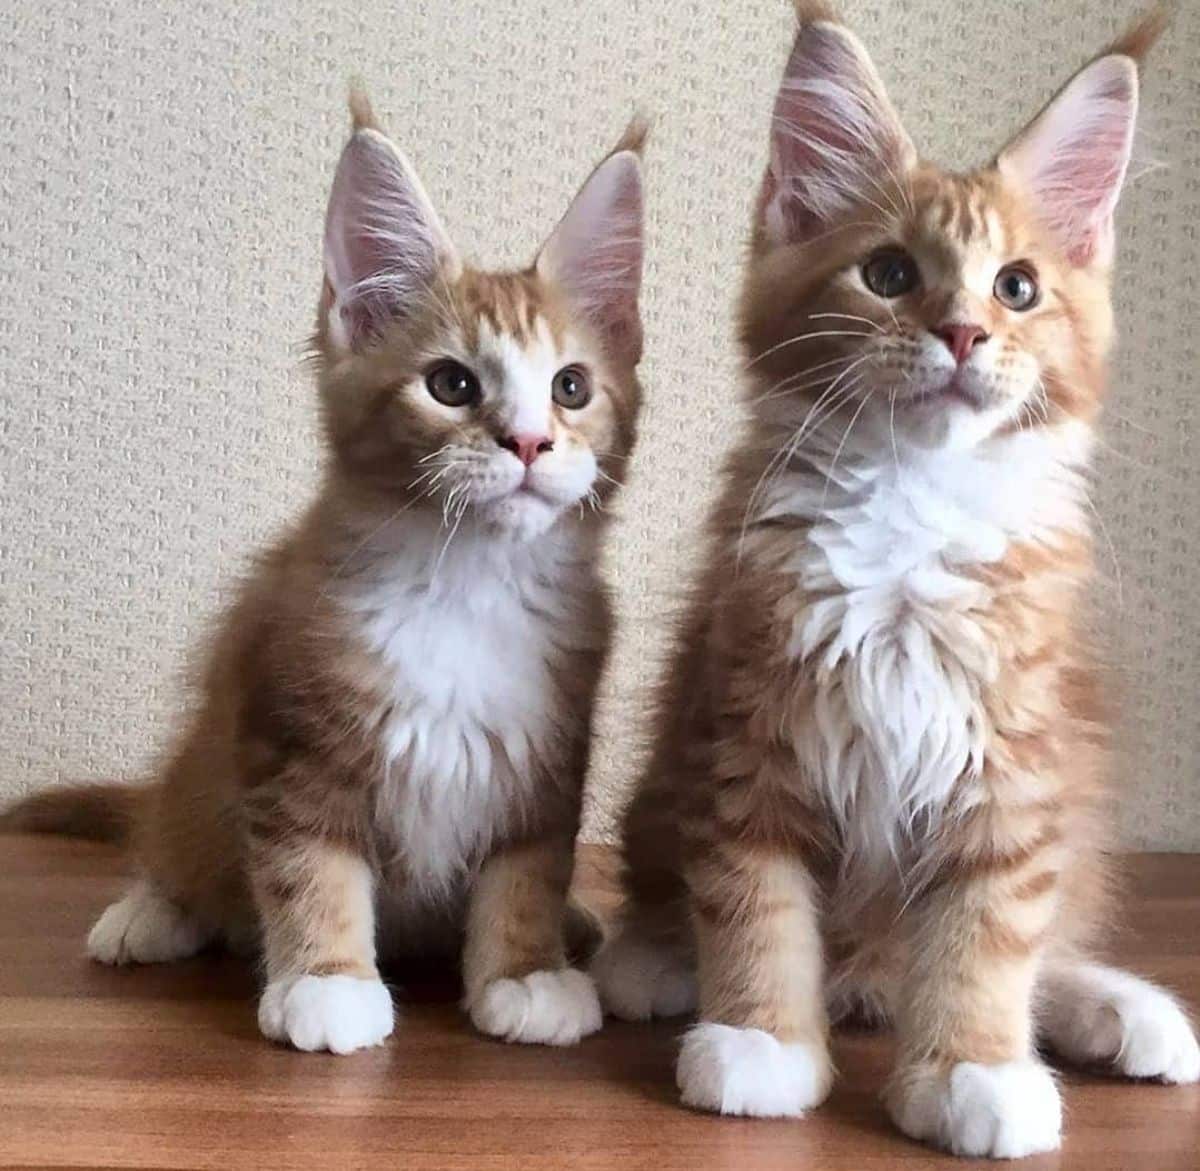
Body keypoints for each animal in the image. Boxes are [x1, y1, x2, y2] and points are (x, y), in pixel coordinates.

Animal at [7, 95, 648, 1055]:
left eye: (571, 387)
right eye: (452, 384)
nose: (531, 442)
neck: (464, 582)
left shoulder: (547, 757)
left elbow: (529, 868)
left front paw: (526, 968)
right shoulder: (287, 739)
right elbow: (311, 868)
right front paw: (327, 980)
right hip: (202, 764)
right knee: (173, 840)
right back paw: (151, 913)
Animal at [592, 2, 1200, 1161]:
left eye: (1017, 288)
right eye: (886, 275)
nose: (961, 332)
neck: (911, 509)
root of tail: (869, 987)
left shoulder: (1012, 775)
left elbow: (988, 935)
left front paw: (975, 1068)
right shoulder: (747, 737)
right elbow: (755, 904)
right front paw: (760, 1041)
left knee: (1043, 942)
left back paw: (1119, 1010)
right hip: (659, 781)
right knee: (663, 883)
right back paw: (651, 960)